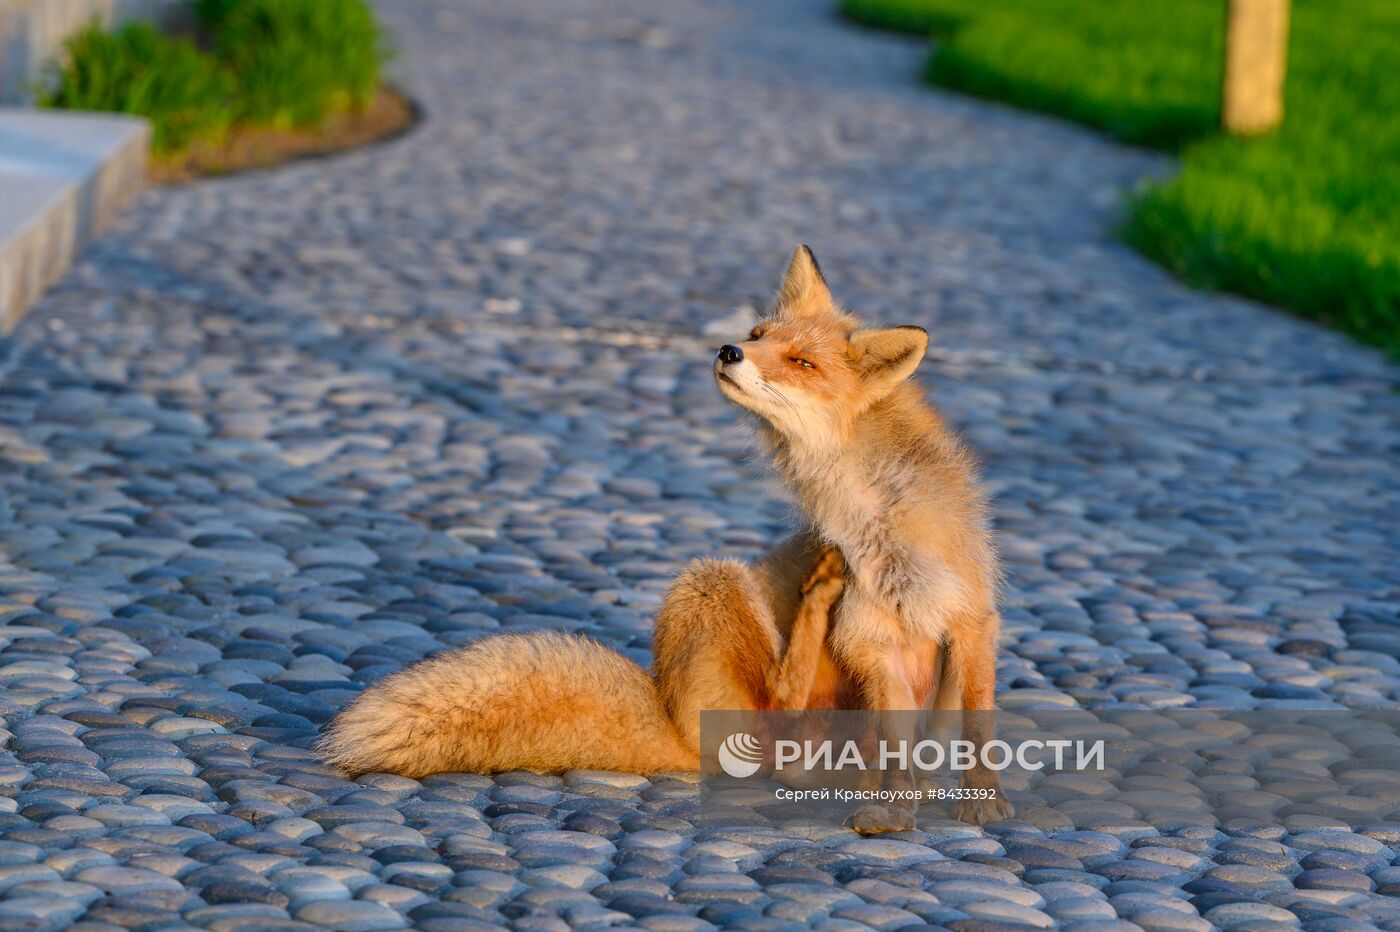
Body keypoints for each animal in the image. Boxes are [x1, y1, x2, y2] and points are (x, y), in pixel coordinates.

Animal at [320, 244, 1008, 828]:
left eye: (802, 363)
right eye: (759, 336)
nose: (729, 350)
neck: (876, 521)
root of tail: (679, 727)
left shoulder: (970, 620)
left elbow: (976, 727)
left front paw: (976, 804)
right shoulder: (868, 639)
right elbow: (893, 739)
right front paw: (894, 810)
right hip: (711, 579)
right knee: (780, 698)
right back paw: (818, 596)